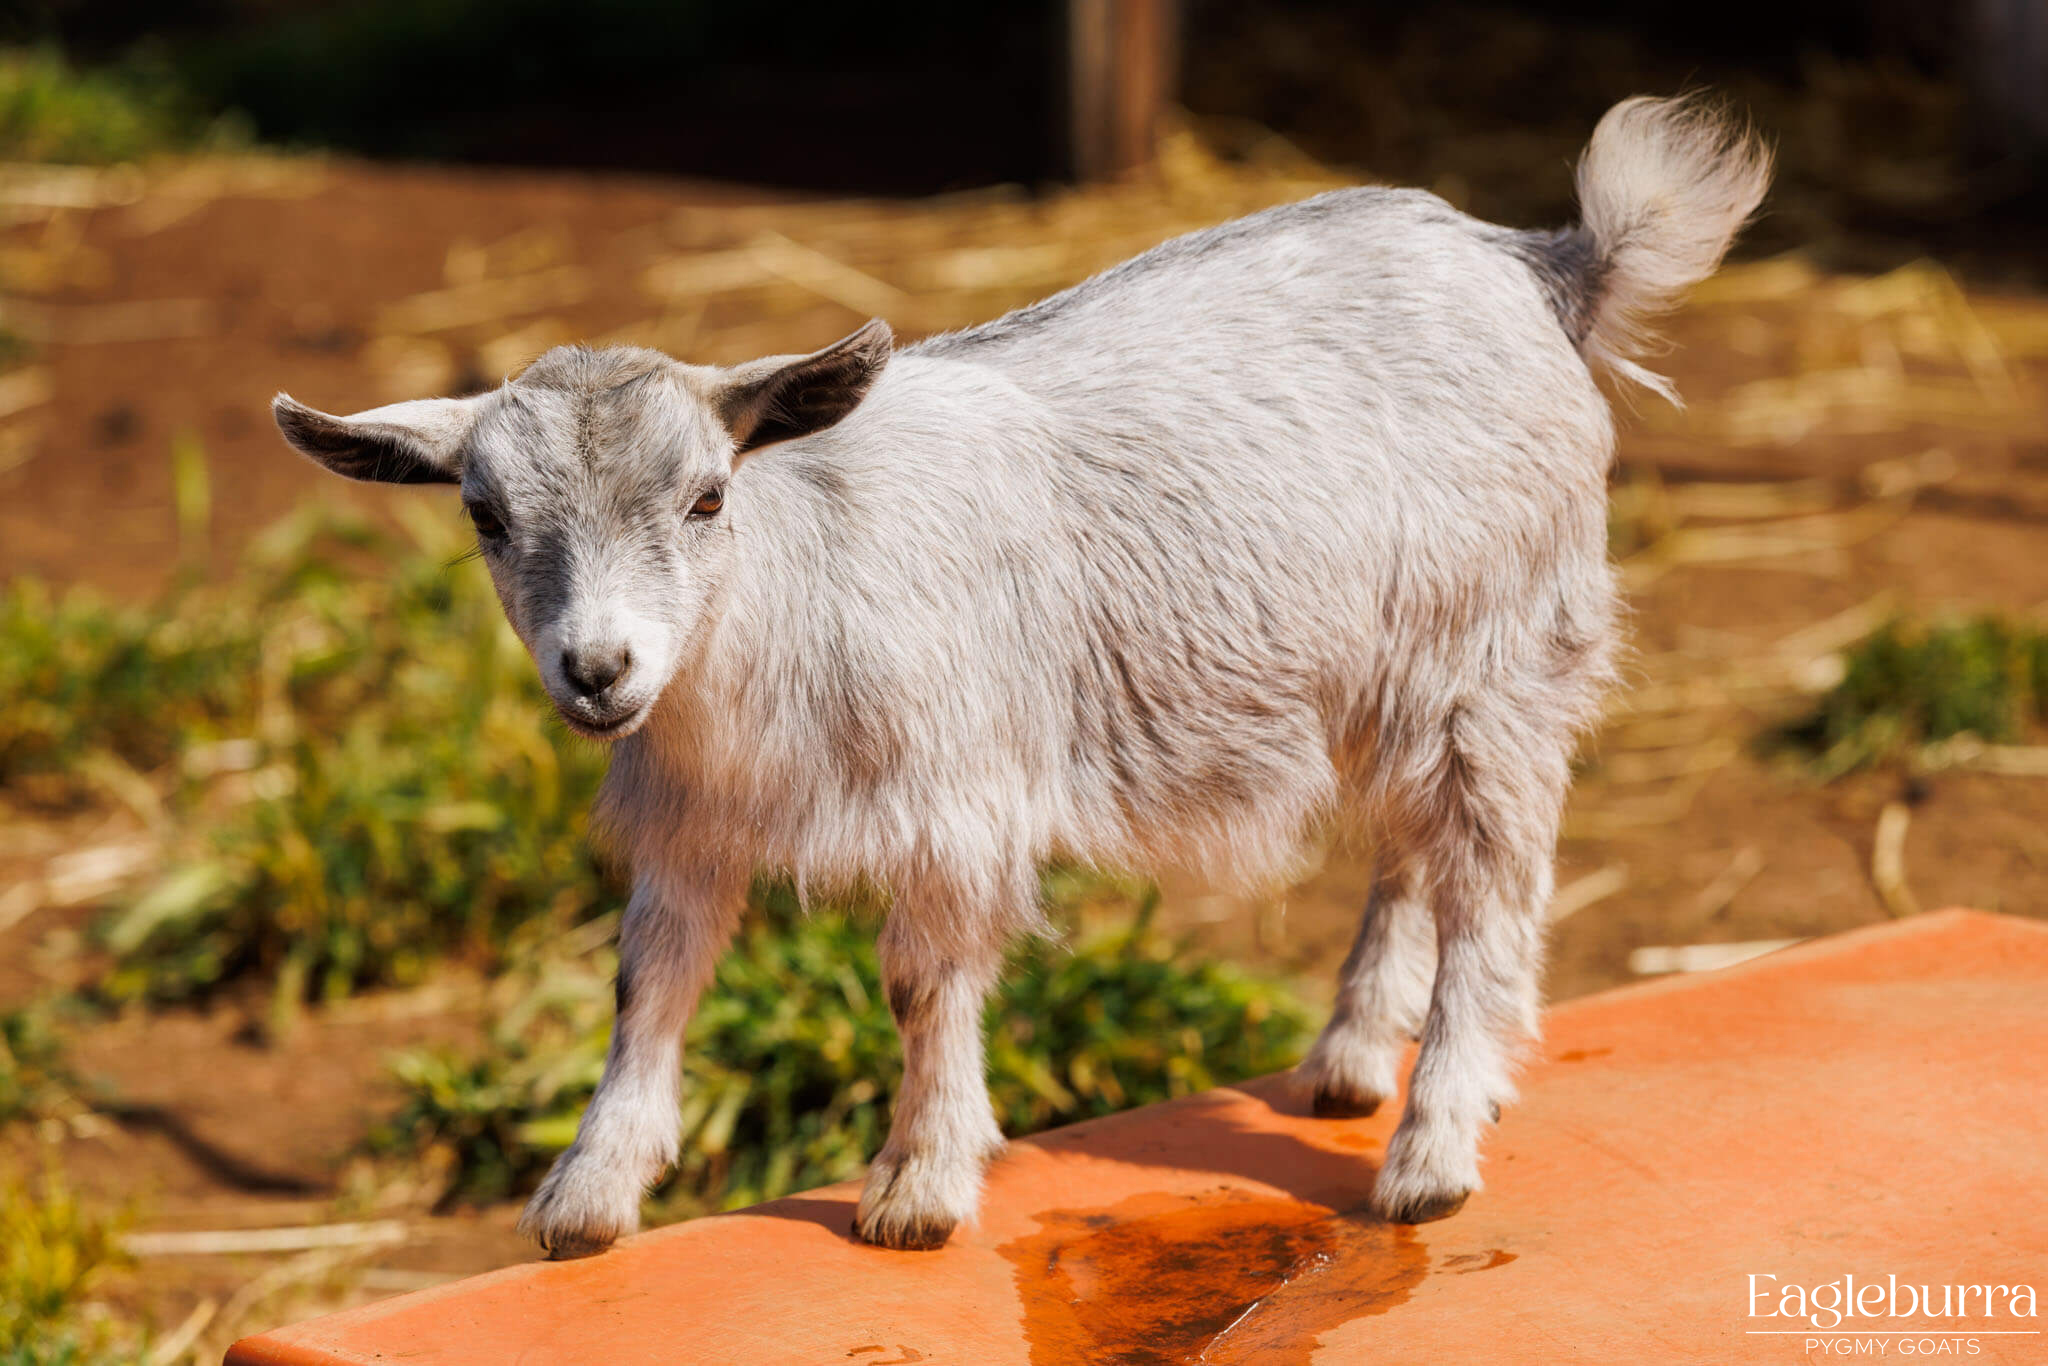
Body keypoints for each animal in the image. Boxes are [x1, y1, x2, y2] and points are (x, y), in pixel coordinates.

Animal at [272, 95, 1769, 1255]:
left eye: (705, 496)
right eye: (484, 515)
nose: (597, 668)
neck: (784, 604)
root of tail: (1539, 263)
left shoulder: (956, 801)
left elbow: (921, 981)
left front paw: (918, 1188)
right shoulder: (692, 824)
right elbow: (652, 982)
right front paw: (588, 1196)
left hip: (1494, 659)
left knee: (1493, 884)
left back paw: (1433, 1147)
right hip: (1389, 670)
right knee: (1416, 847)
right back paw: (1349, 1059)